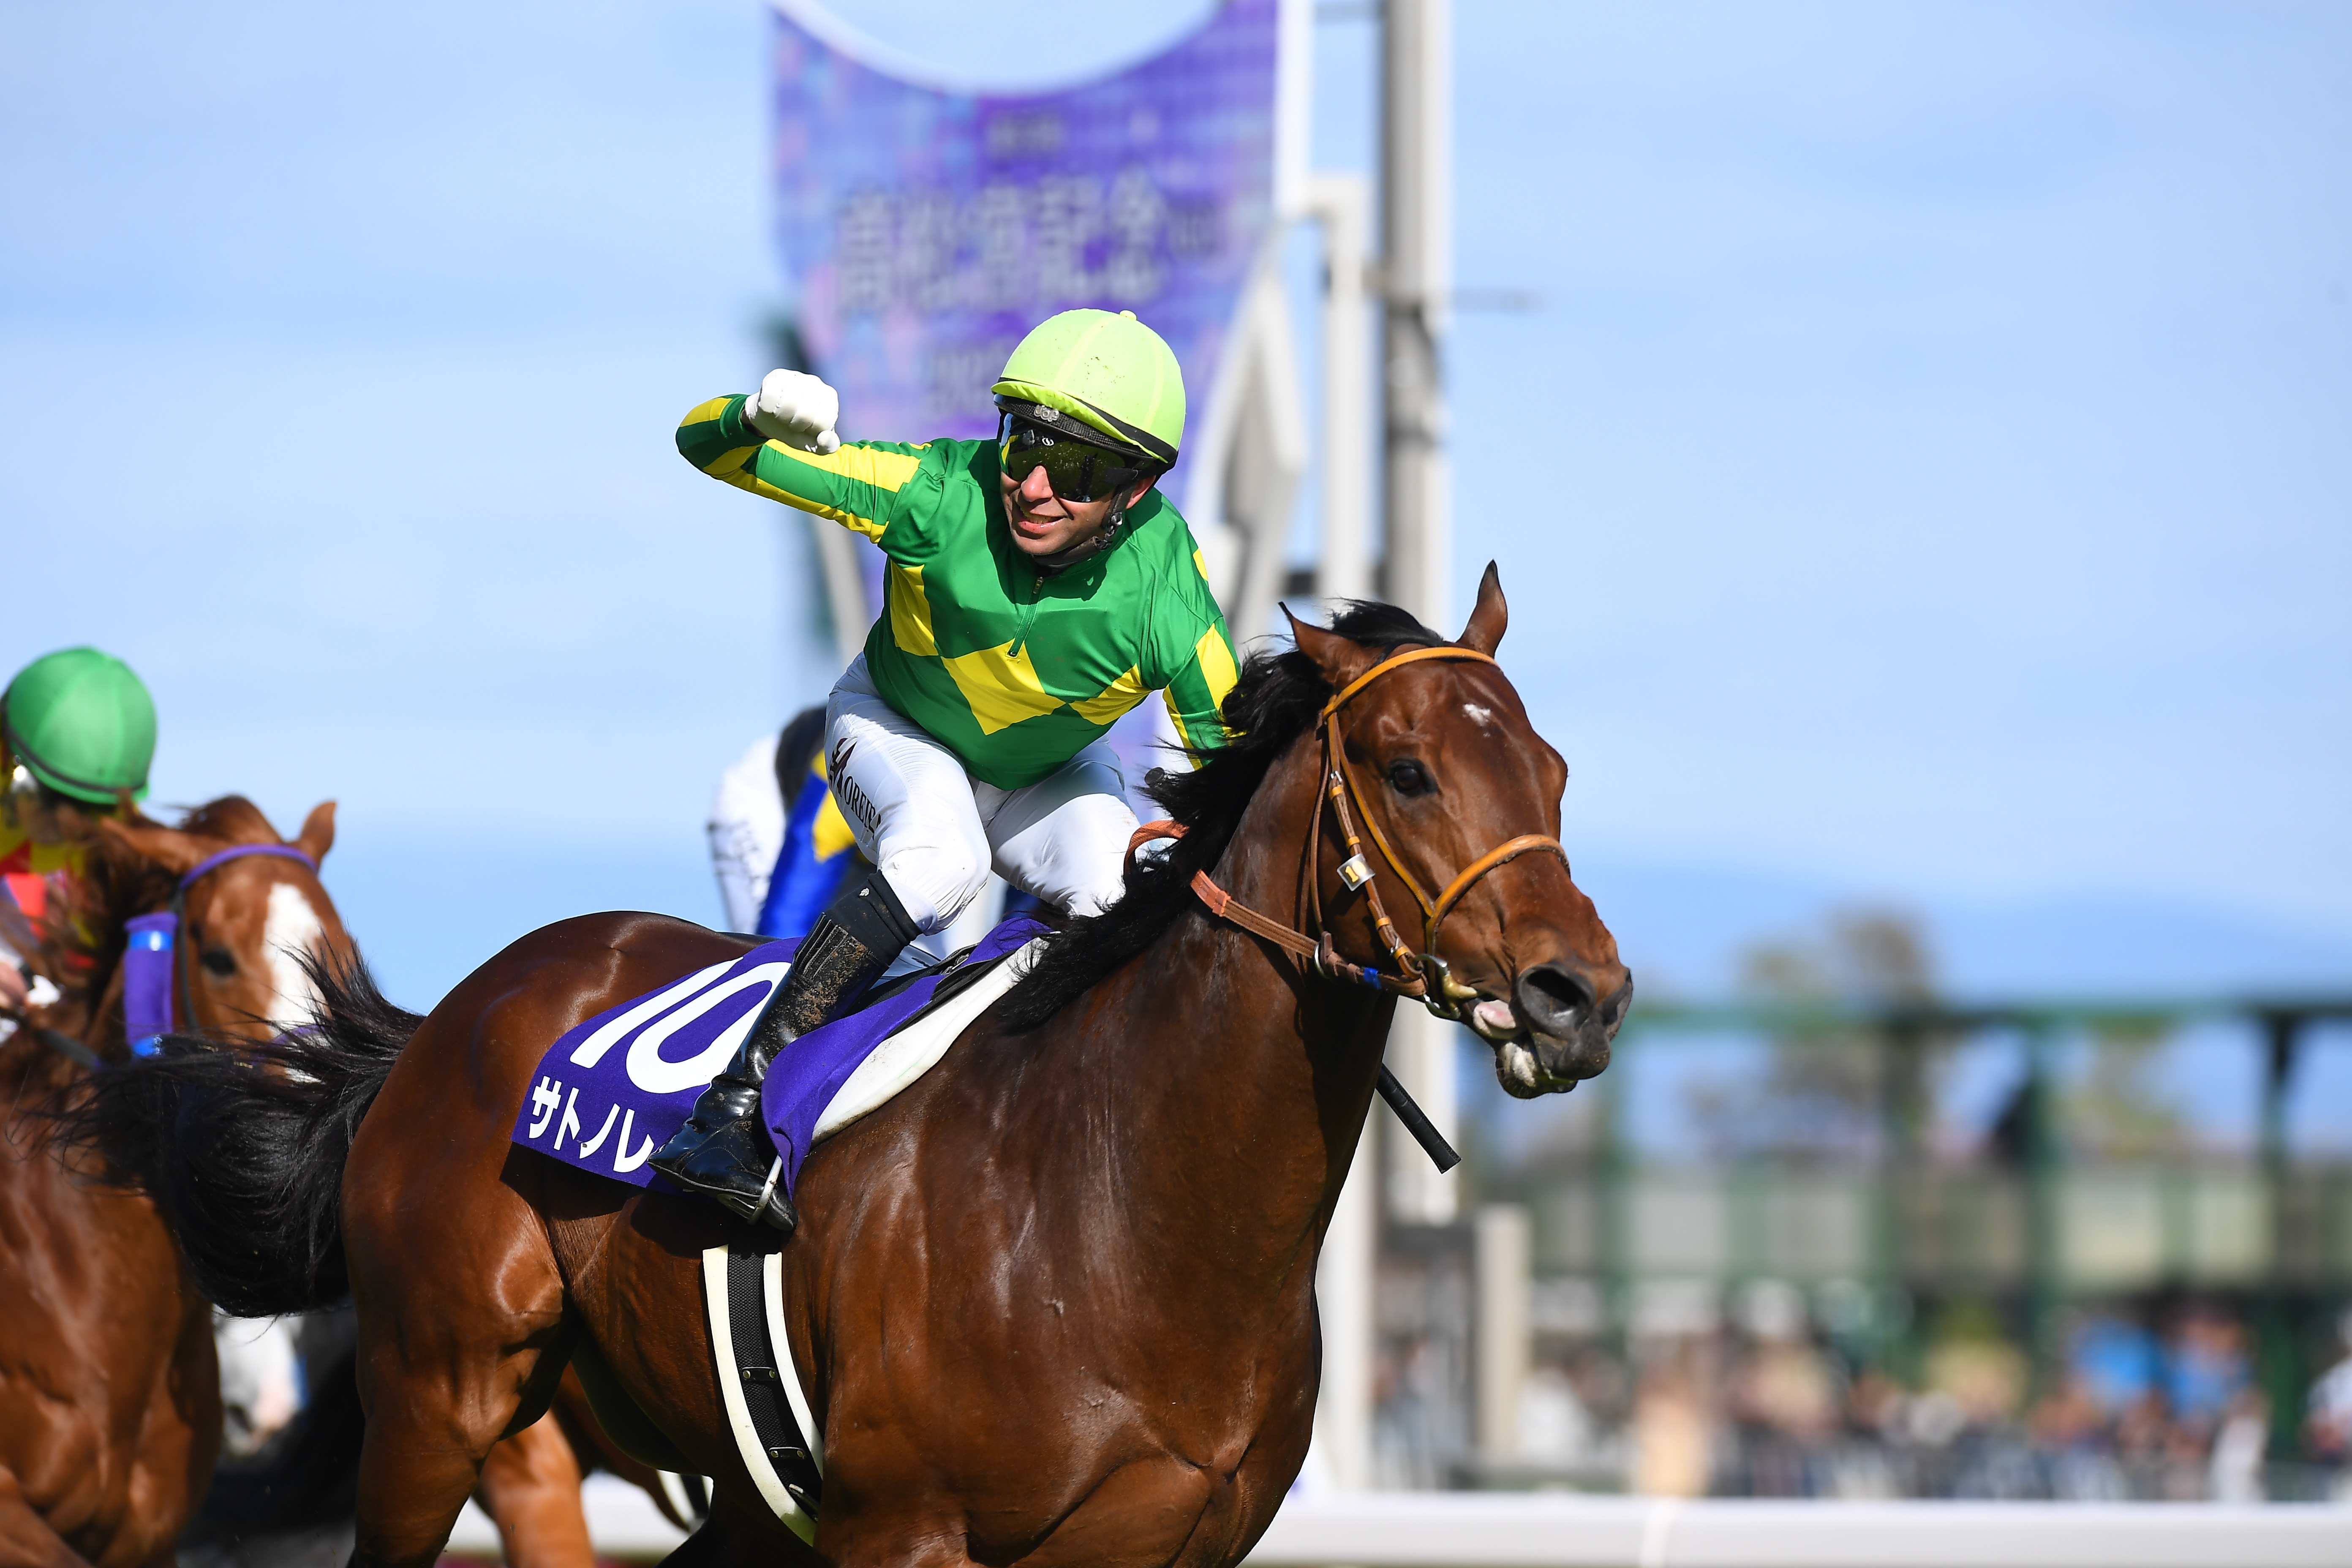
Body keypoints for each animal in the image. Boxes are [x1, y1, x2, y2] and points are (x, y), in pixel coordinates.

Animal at [66, 570, 1630, 1568]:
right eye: (1407, 770)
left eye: (1553, 772)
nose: (1582, 993)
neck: (1131, 1200)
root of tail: (449, 1019)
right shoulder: (903, 1529)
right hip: (443, 1402)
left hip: (729, 1489)